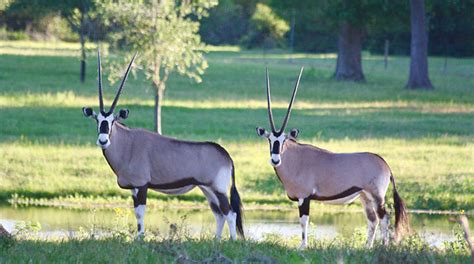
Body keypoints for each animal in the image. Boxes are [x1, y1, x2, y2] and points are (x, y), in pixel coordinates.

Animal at [82, 51, 244, 239]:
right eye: (97, 120)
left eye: (112, 121)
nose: (103, 140)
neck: (127, 143)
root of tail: (227, 156)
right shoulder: (133, 188)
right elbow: (137, 213)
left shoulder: (142, 185)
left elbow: (140, 213)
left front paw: (140, 238)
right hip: (208, 190)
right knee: (219, 214)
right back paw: (216, 240)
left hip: (218, 189)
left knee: (230, 213)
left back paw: (231, 240)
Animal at [256, 67, 408, 248]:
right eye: (270, 140)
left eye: (284, 140)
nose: (275, 160)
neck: (295, 159)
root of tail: (385, 164)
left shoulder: (304, 197)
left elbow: (304, 221)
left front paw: (303, 246)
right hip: (365, 196)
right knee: (373, 220)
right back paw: (367, 247)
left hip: (377, 196)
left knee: (384, 217)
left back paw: (383, 246)